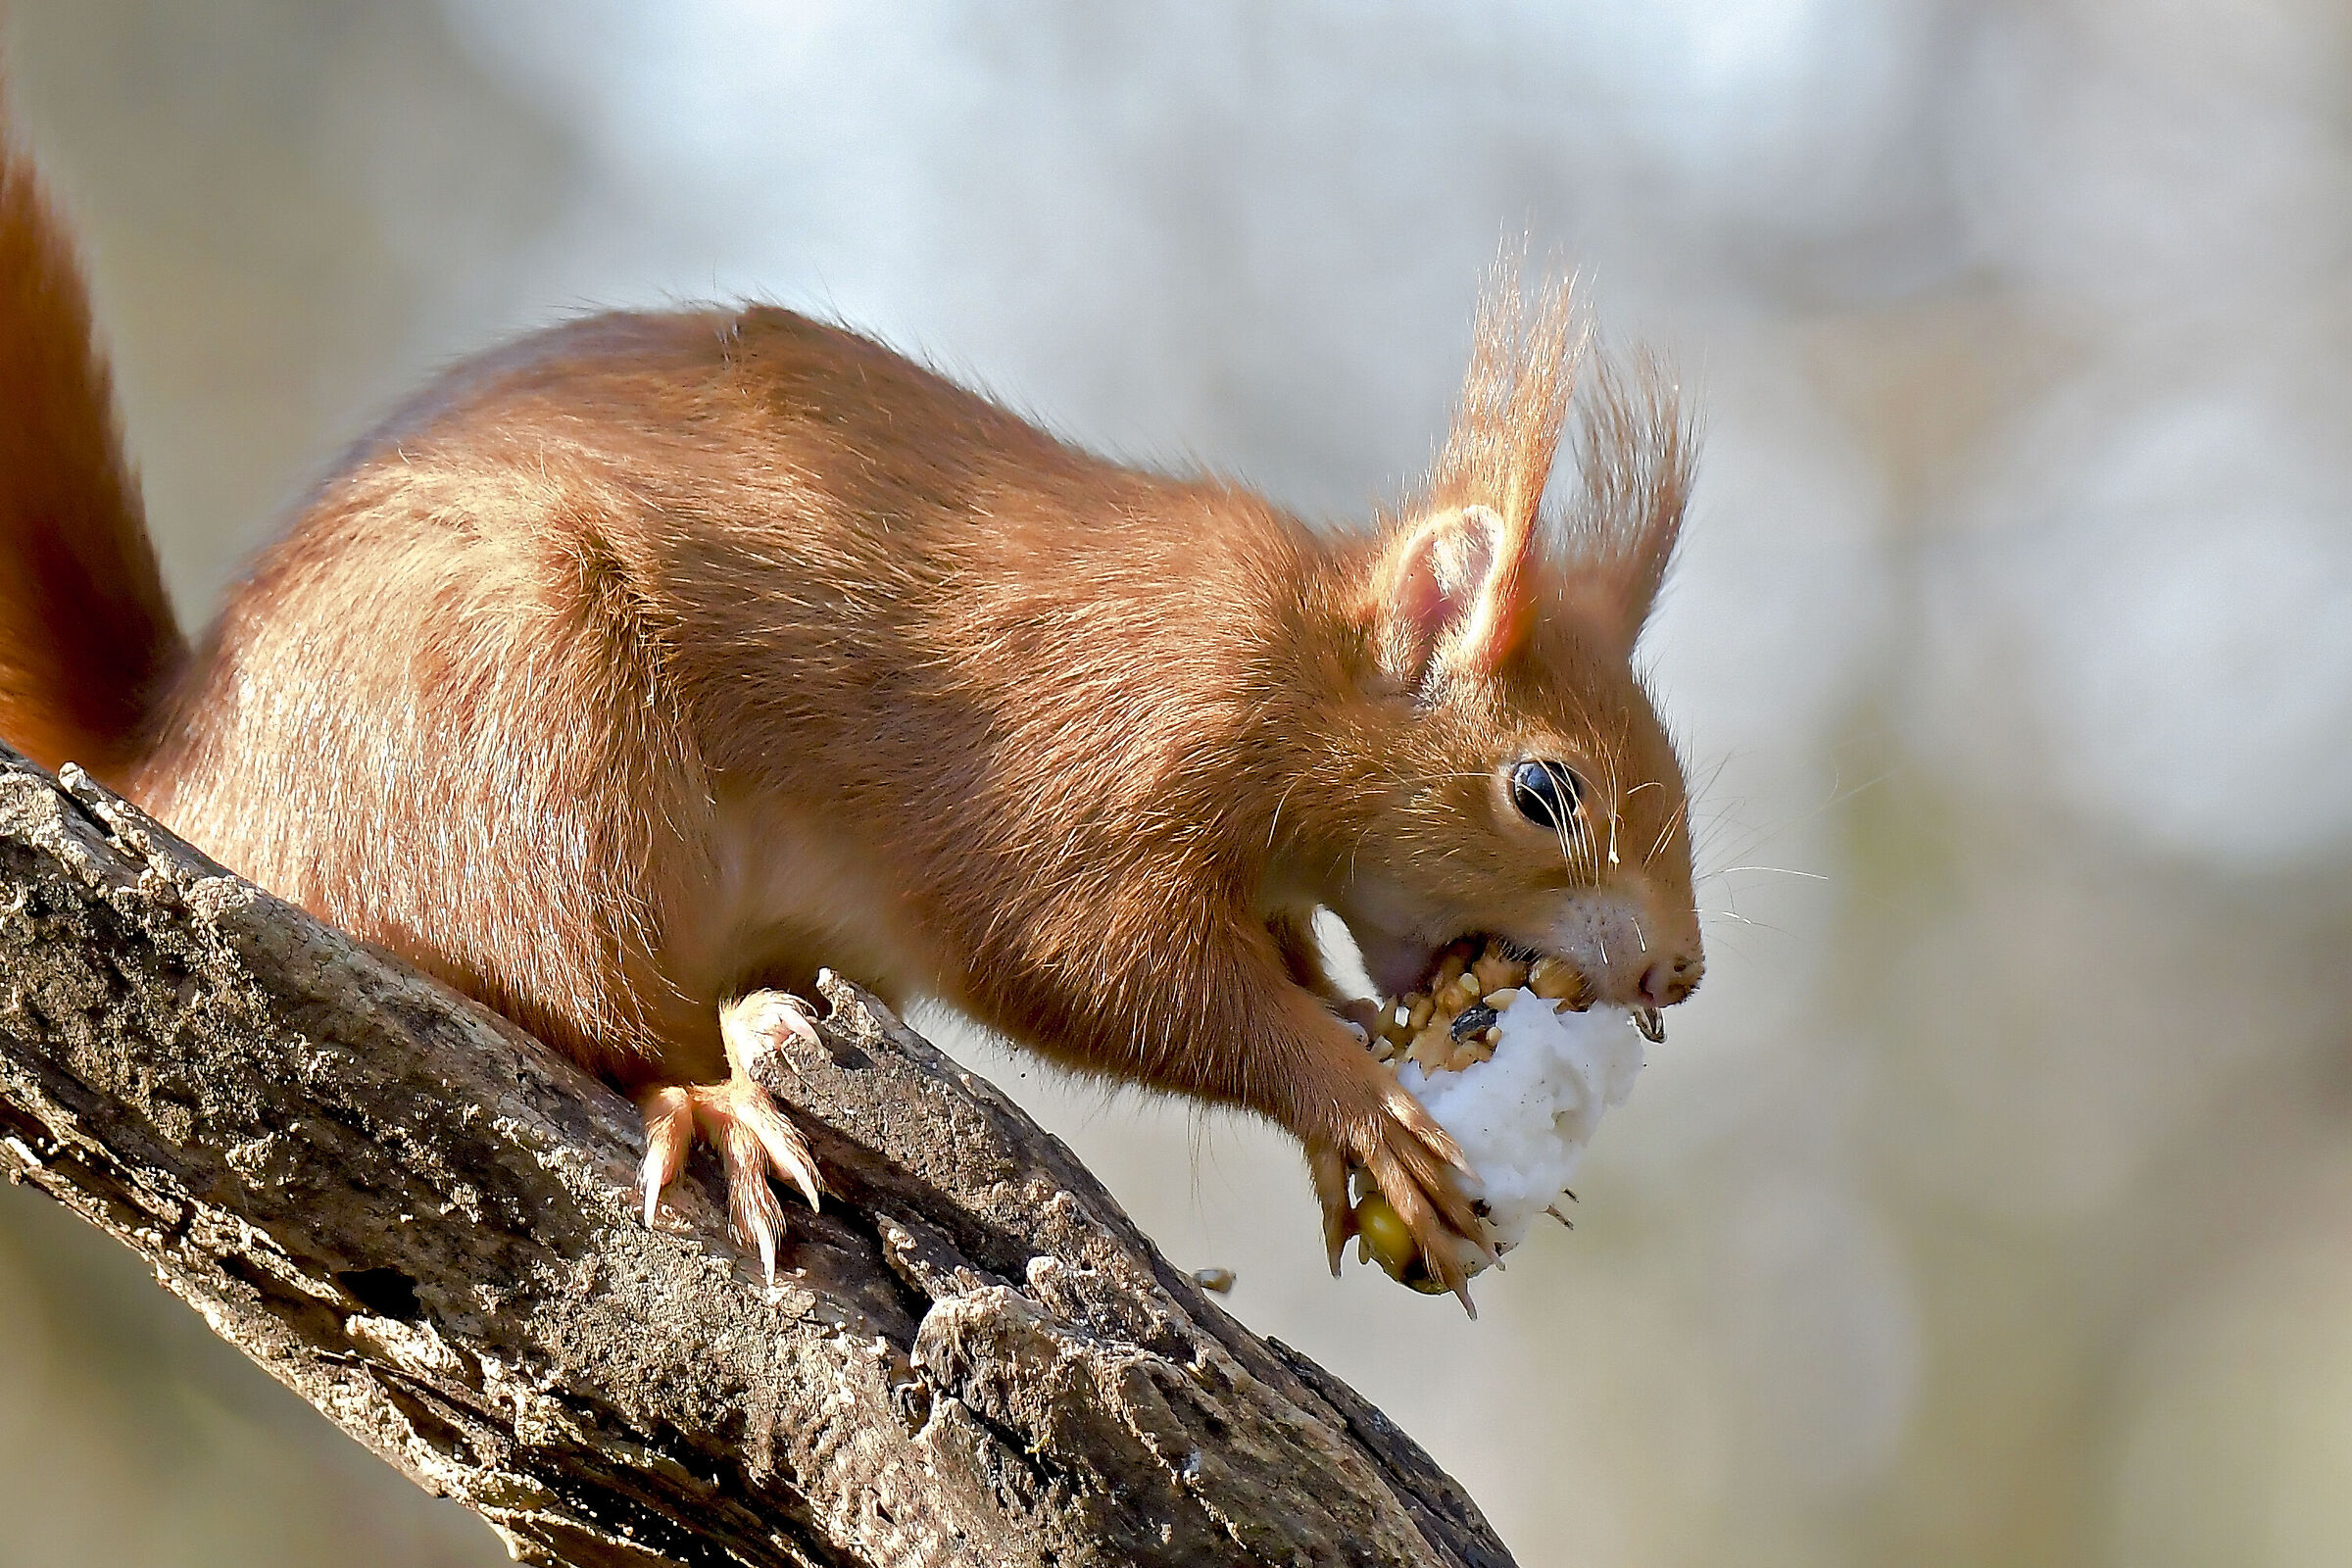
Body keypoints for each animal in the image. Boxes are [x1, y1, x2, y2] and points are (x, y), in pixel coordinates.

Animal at [0, 120, 1702, 1310]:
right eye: (1544, 792)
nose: (1678, 970)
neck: (1288, 666)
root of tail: (186, 761)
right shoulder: (1098, 752)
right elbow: (1100, 968)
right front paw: (1355, 1102)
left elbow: (1267, 955)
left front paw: (1354, 1028)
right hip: (523, 732)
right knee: (571, 988)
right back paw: (708, 1101)